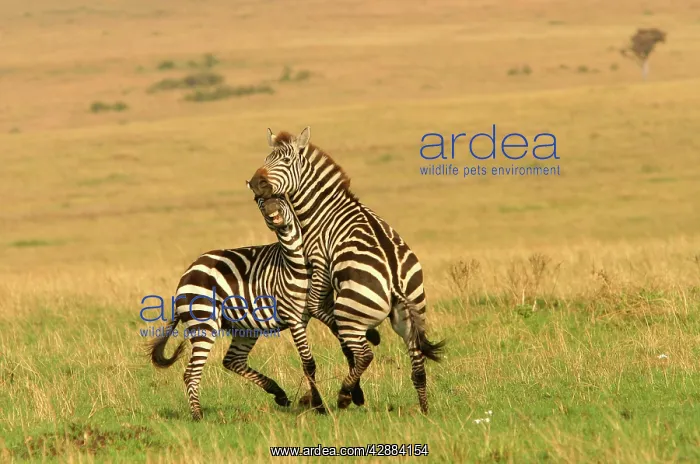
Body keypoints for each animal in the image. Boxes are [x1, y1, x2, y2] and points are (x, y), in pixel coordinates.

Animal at [148, 194, 328, 420]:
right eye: (261, 202)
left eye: (279, 197)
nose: (272, 213)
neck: (295, 264)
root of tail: (188, 272)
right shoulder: (294, 318)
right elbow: (309, 363)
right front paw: (320, 406)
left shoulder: (324, 308)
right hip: (205, 323)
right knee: (192, 373)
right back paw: (198, 415)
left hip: (246, 327)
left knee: (233, 360)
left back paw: (278, 393)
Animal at [248, 127, 445, 413]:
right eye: (266, 158)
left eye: (284, 161)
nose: (254, 183)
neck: (321, 210)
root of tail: (395, 280)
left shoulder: (319, 261)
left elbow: (315, 307)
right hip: (411, 315)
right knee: (417, 365)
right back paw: (424, 409)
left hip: (352, 310)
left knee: (365, 353)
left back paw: (344, 395)